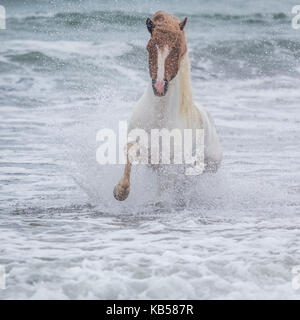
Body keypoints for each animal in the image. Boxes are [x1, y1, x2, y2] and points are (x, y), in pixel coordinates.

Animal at [113, 13, 221, 202]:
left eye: (176, 49)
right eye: (149, 48)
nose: (159, 87)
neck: (159, 116)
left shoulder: (168, 164)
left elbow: (164, 188)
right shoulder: (140, 146)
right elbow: (130, 157)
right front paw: (120, 191)